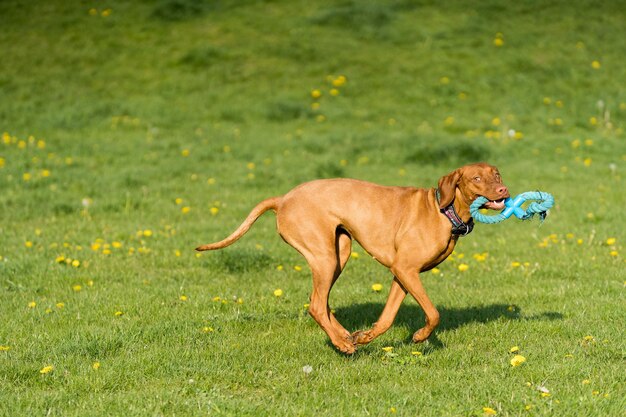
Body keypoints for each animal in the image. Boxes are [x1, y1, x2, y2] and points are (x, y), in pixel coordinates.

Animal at [195, 162, 508, 352]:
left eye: (497, 175)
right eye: (476, 179)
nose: (503, 189)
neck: (444, 211)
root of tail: (282, 199)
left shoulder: (401, 274)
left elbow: (386, 318)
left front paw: (366, 336)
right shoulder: (406, 269)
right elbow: (433, 313)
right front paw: (421, 336)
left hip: (339, 252)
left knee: (321, 302)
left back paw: (345, 336)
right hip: (324, 256)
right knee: (316, 305)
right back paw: (342, 344)